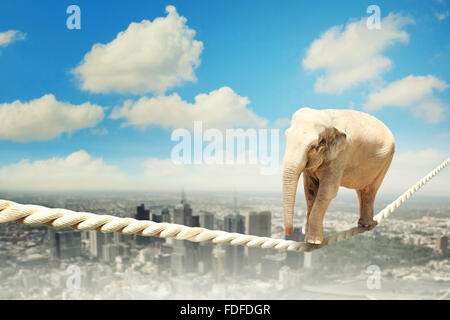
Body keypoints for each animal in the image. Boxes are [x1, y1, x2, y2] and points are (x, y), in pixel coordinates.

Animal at [284, 107, 396, 245]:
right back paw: (365, 224)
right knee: (362, 190)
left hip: (386, 161)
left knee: (370, 189)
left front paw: (313, 241)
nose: (290, 233)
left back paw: (367, 225)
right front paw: (307, 235)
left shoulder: (341, 154)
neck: (327, 116)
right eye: (286, 136)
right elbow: (309, 190)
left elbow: (328, 191)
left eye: (316, 145)